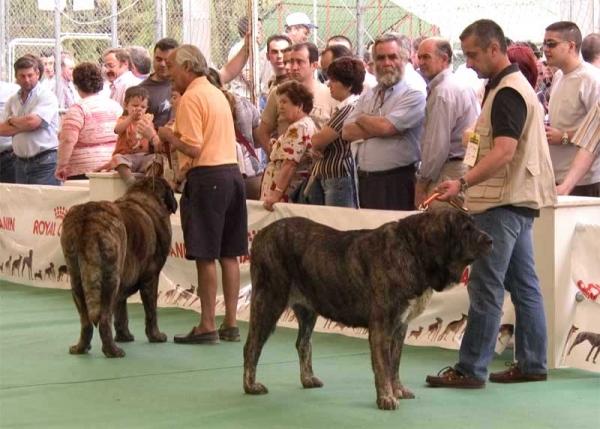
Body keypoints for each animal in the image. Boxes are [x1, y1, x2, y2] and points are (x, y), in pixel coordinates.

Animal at [61, 177, 178, 358]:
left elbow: (121, 312)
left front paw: (124, 336)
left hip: (77, 279)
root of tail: (87, 217)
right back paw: (113, 351)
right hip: (110, 280)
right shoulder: (151, 278)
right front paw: (156, 336)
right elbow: (151, 311)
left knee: (86, 320)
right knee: (104, 318)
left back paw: (81, 348)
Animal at [243, 209, 492, 410]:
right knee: (252, 345)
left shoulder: (400, 326)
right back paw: (250, 385)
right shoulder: (382, 325)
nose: (490, 239)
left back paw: (308, 378)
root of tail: (261, 235)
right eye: (466, 229)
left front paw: (398, 389)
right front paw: (387, 398)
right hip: (269, 300)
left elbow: (394, 363)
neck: (413, 251)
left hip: (307, 310)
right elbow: (383, 365)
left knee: (303, 343)